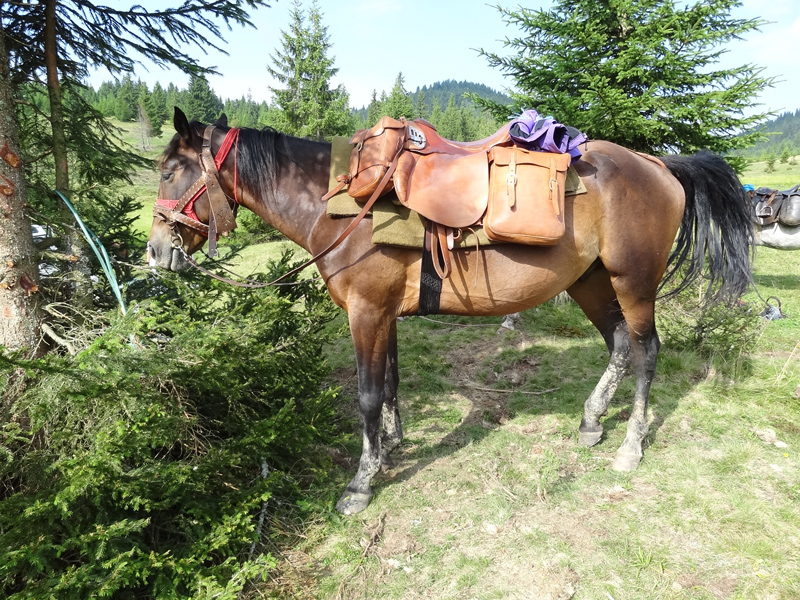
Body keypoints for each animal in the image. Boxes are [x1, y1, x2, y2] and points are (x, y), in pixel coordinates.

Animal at [147, 108, 752, 516]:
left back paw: (630, 444)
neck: (335, 203)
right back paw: (591, 420)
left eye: (170, 171)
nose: (156, 252)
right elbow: (390, 383)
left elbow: (367, 395)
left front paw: (361, 482)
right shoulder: (383, 312)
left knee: (646, 351)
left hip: (633, 282)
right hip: (591, 282)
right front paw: (389, 446)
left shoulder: (366, 311)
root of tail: (658, 164)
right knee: (621, 344)